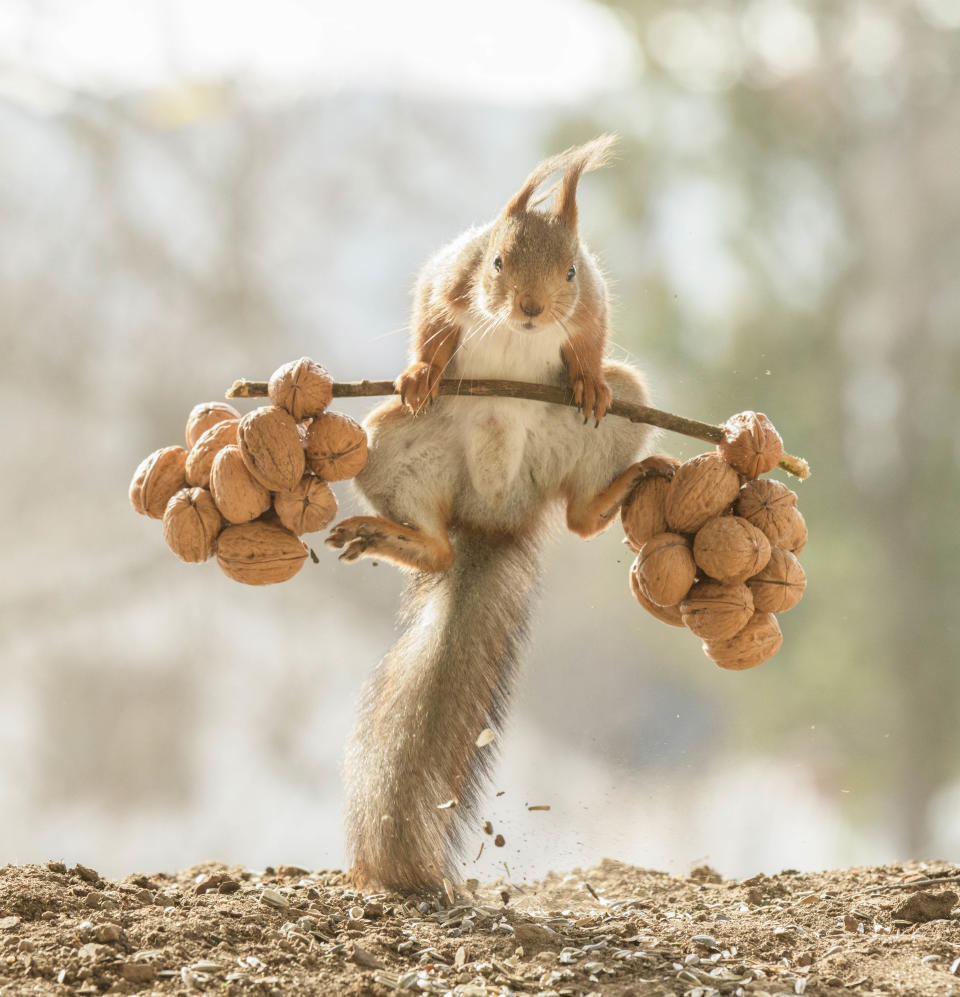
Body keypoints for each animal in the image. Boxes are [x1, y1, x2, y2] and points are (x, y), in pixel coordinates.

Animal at [326, 136, 656, 892]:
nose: (532, 308)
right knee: (439, 546)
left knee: (581, 514)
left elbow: (594, 334)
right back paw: (393, 534)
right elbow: (429, 313)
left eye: (571, 268)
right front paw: (422, 369)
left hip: (623, 412)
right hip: (385, 442)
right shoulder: (449, 276)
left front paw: (585, 375)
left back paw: (626, 475)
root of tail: (496, 515)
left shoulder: (590, 305)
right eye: (497, 260)